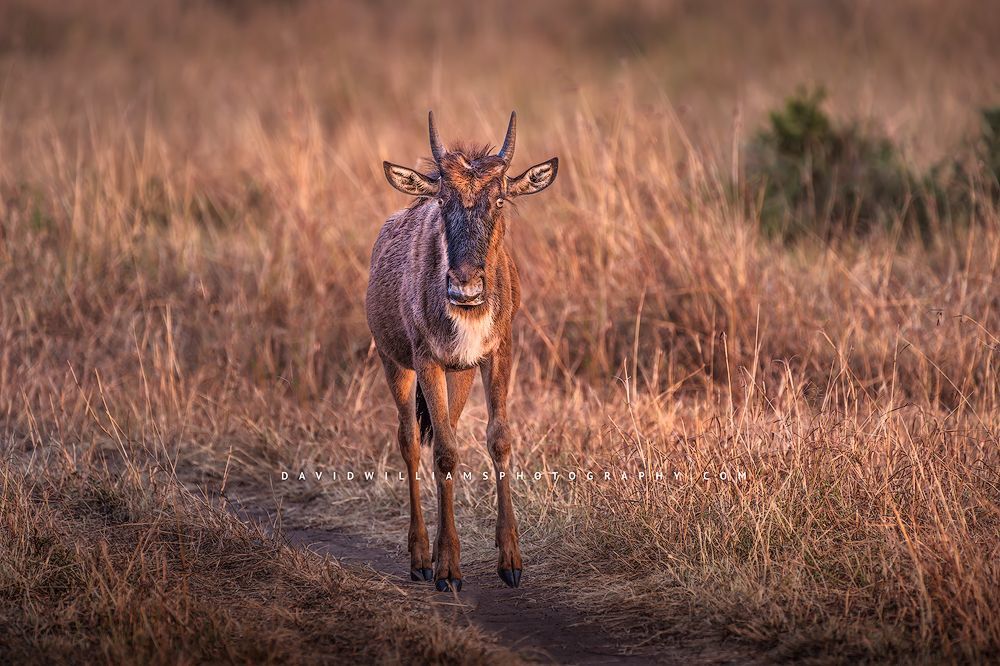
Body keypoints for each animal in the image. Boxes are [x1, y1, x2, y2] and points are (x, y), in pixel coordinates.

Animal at [366, 111, 557, 592]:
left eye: (501, 199)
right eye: (441, 199)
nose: (464, 289)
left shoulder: (497, 353)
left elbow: (498, 439)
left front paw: (511, 562)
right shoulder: (425, 360)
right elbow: (444, 453)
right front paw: (448, 569)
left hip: (461, 373)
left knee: (444, 433)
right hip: (394, 363)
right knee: (412, 442)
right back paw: (421, 557)